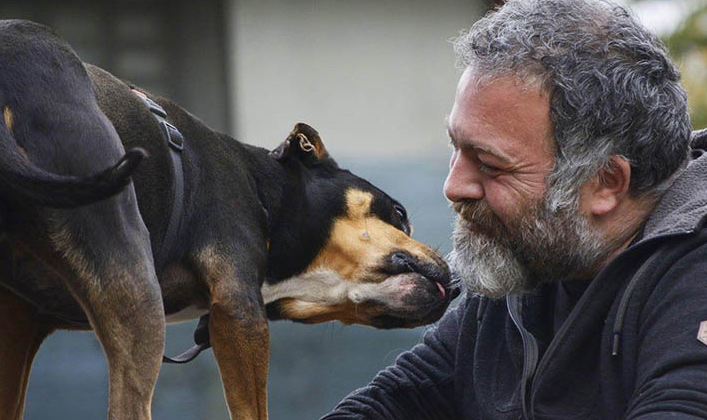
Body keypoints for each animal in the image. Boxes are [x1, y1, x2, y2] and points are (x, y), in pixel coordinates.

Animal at [0, 19, 460, 420]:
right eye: (400, 214)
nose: (457, 284)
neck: (265, 196)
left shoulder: (19, 324)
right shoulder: (240, 311)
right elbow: (252, 409)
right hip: (134, 283)